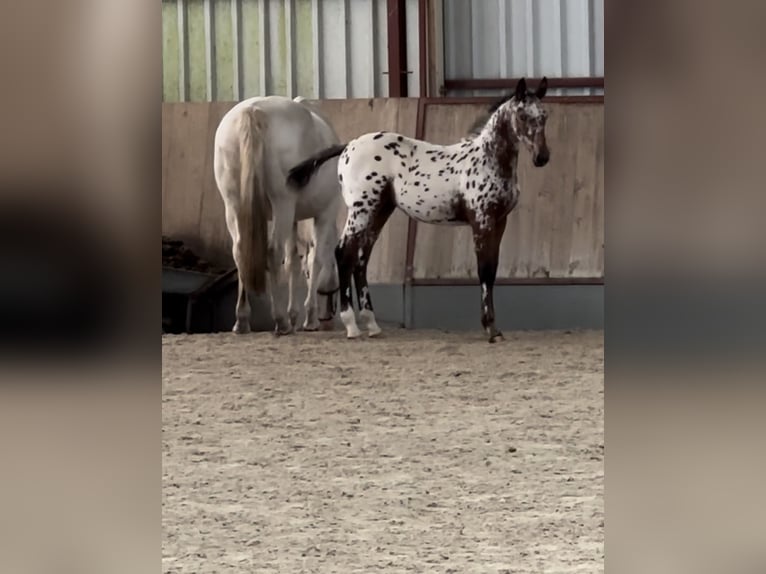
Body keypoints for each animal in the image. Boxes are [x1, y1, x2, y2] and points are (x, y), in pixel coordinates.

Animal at [212, 96, 340, 336]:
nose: (328, 318)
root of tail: (253, 111)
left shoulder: (293, 220)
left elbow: (293, 263)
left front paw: (294, 315)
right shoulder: (325, 214)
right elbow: (314, 260)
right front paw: (308, 318)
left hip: (233, 206)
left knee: (240, 251)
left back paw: (242, 321)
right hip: (283, 204)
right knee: (273, 251)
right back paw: (281, 322)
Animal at [290, 79, 552, 344]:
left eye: (544, 116)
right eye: (522, 115)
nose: (542, 157)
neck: (487, 161)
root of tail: (350, 145)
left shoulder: (500, 222)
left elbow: (492, 271)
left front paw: (495, 329)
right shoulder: (482, 221)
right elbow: (484, 270)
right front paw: (490, 329)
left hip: (379, 211)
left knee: (360, 259)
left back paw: (372, 324)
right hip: (361, 210)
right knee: (344, 253)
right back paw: (351, 326)